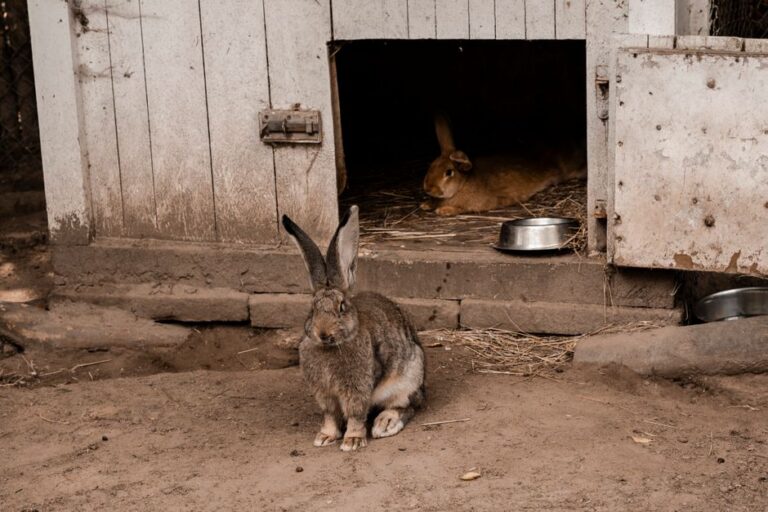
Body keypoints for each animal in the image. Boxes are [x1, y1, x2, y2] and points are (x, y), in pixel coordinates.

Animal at [281, 205, 426, 452]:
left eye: (342, 307)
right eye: (312, 309)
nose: (323, 333)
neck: (333, 347)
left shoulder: (357, 390)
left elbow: (356, 415)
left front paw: (353, 441)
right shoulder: (325, 394)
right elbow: (330, 415)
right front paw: (325, 436)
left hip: (408, 378)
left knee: (407, 406)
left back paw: (385, 423)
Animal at [420, 114, 587, 216]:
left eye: (448, 172)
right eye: (431, 166)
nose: (427, 188)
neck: (462, 185)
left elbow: (461, 208)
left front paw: (444, 210)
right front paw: (426, 205)